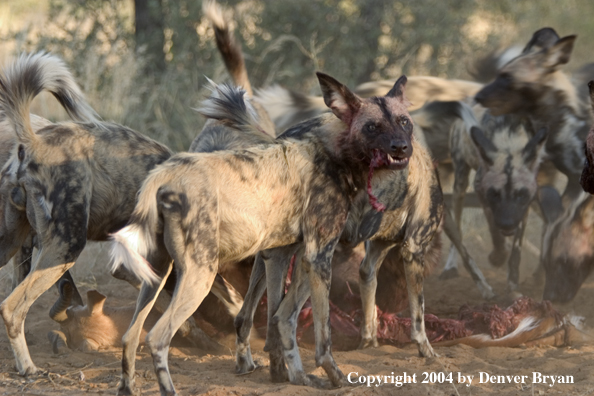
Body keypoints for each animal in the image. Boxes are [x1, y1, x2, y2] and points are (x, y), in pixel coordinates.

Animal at [110, 72, 416, 392]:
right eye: (372, 126)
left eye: (404, 122)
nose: (400, 147)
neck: (335, 153)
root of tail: (165, 174)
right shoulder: (319, 256)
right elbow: (322, 336)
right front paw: (334, 377)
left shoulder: (294, 255)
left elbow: (282, 318)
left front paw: (294, 377)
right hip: (199, 276)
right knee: (157, 337)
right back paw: (169, 390)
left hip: (156, 273)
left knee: (131, 335)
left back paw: (128, 388)